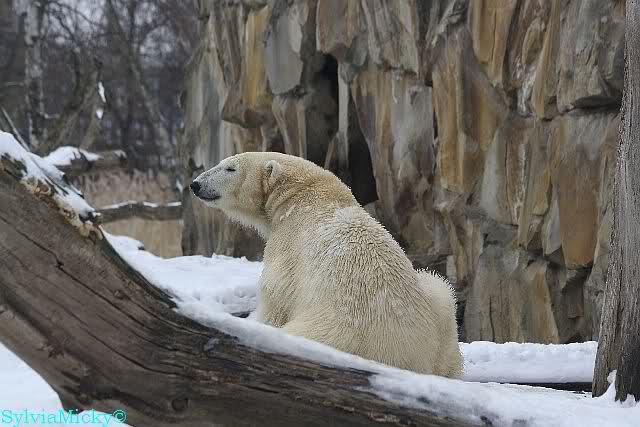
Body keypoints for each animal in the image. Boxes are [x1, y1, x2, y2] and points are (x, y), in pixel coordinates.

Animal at [191, 152, 463, 378]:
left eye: (230, 168)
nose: (195, 184)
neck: (306, 195)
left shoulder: (288, 243)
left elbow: (275, 295)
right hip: (438, 320)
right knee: (439, 290)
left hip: (325, 330)